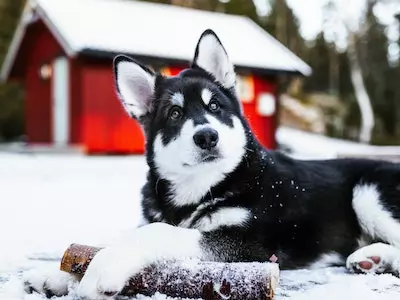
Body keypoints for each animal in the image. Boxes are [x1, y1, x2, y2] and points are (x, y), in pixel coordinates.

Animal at [23, 28, 398, 300]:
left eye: (215, 106)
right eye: (175, 113)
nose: (207, 136)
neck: (204, 188)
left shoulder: (252, 245)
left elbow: (159, 233)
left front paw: (105, 266)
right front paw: (56, 274)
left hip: (369, 192)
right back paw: (371, 258)